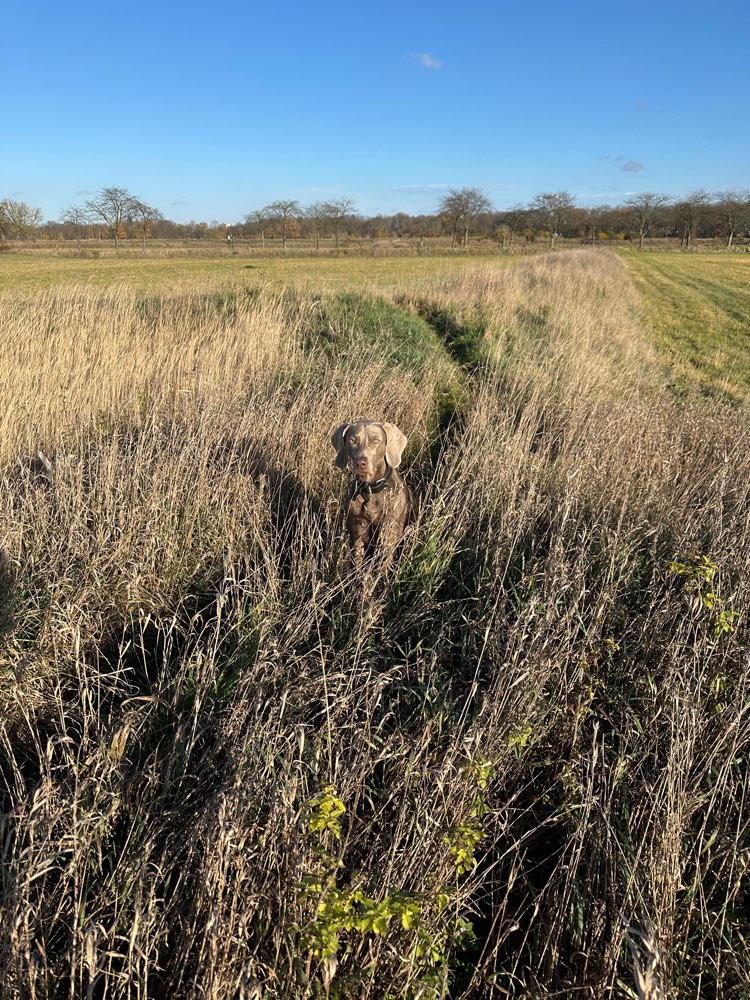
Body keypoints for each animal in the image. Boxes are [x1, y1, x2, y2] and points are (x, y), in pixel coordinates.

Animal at [332, 418, 414, 568]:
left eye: (376, 440)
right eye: (352, 440)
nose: (360, 464)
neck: (369, 491)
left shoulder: (388, 539)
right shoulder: (357, 536)